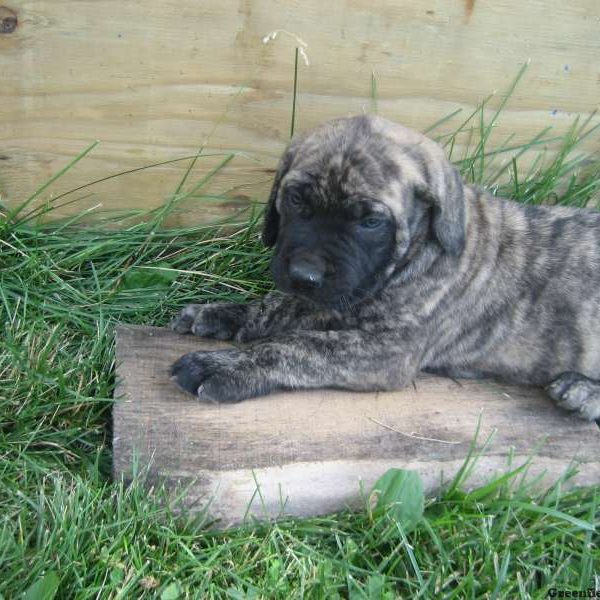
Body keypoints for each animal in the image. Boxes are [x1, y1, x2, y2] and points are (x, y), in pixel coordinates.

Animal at [169, 115, 600, 420]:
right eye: (295, 199)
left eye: (371, 221)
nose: (304, 276)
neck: (416, 254)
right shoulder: (336, 296)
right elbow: (281, 306)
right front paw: (224, 313)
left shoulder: (387, 350)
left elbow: (297, 345)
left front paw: (227, 366)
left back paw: (583, 393)